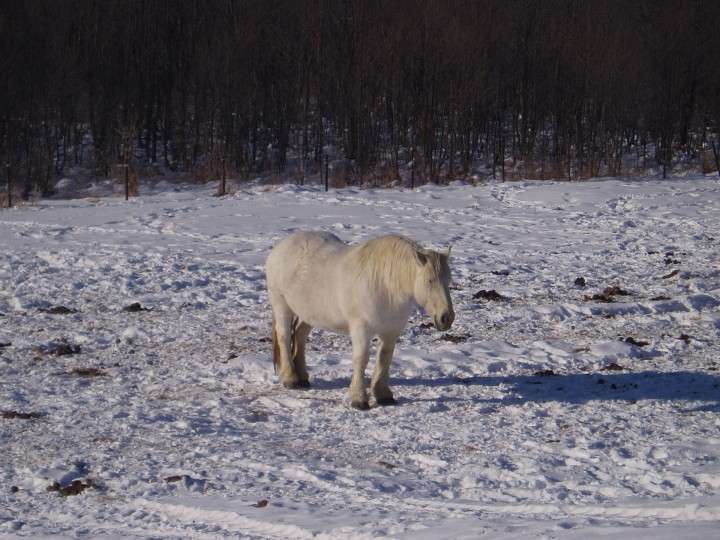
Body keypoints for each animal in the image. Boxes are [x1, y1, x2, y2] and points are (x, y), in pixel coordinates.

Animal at [264, 231, 456, 410]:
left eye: (448, 280)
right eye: (430, 280)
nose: (446, 317)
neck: (385, 286)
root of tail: (281, 246)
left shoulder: (390, 331)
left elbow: (385, 358)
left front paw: (383, 395)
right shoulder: (361, 329)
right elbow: (361, 359)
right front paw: (359, 399)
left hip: (308, 313)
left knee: (300, 337)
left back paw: (303, 377)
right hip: (281, 305)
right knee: (284, 336)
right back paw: (291, 378)